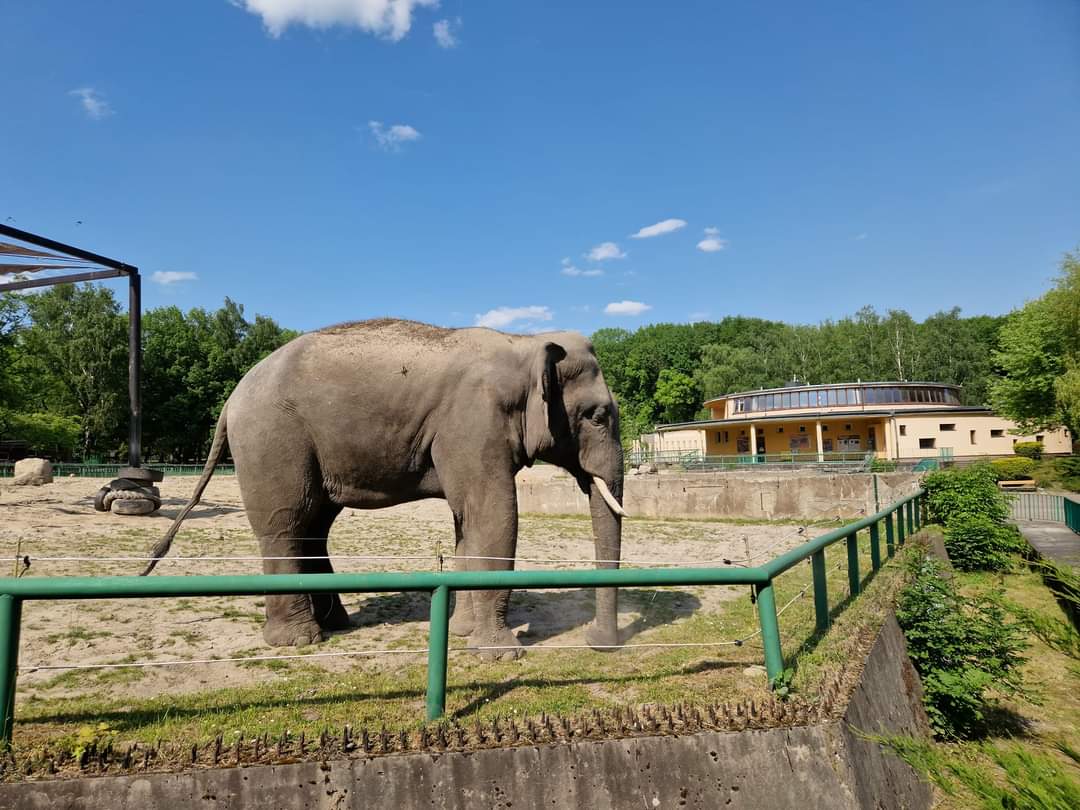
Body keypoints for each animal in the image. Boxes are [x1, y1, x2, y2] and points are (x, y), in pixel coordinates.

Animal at [141, 318, 626, 659]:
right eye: (597, 416)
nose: (600, 643)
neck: (522, 341)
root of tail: (231, 398)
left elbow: (466, 520)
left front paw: (463, 633)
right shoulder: (473, 422)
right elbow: (494, 514)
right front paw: (500, 654)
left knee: (314, 525)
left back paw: (336, 625)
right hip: (273, 439)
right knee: (286, 525)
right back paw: (299, 641)